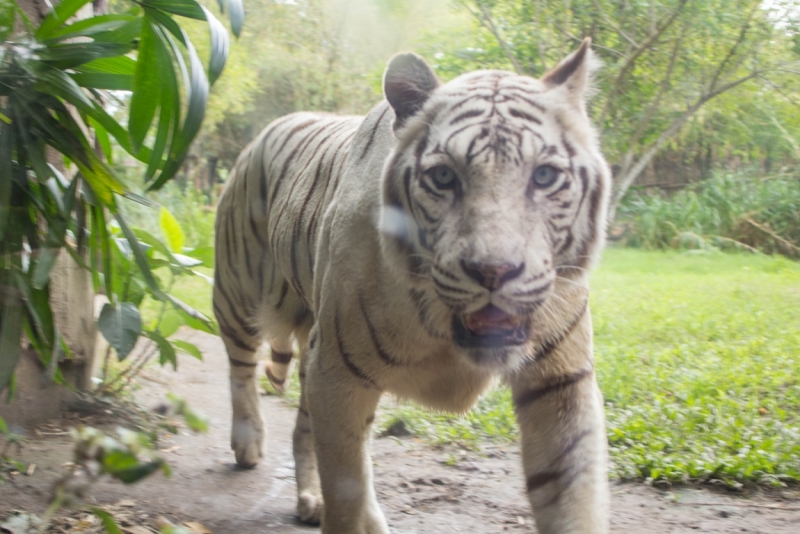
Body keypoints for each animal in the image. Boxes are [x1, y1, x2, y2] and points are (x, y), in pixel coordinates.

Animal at [214, 39, 612, 532]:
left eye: (544, 176)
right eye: (443, 177)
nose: (494, 271)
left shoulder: (561, 383)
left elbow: (574, 498)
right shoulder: (337, 371)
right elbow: (347, 486)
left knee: (306, 425)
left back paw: (311, 500)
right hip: (237, 292)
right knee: (240, 369)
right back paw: (248, 444)